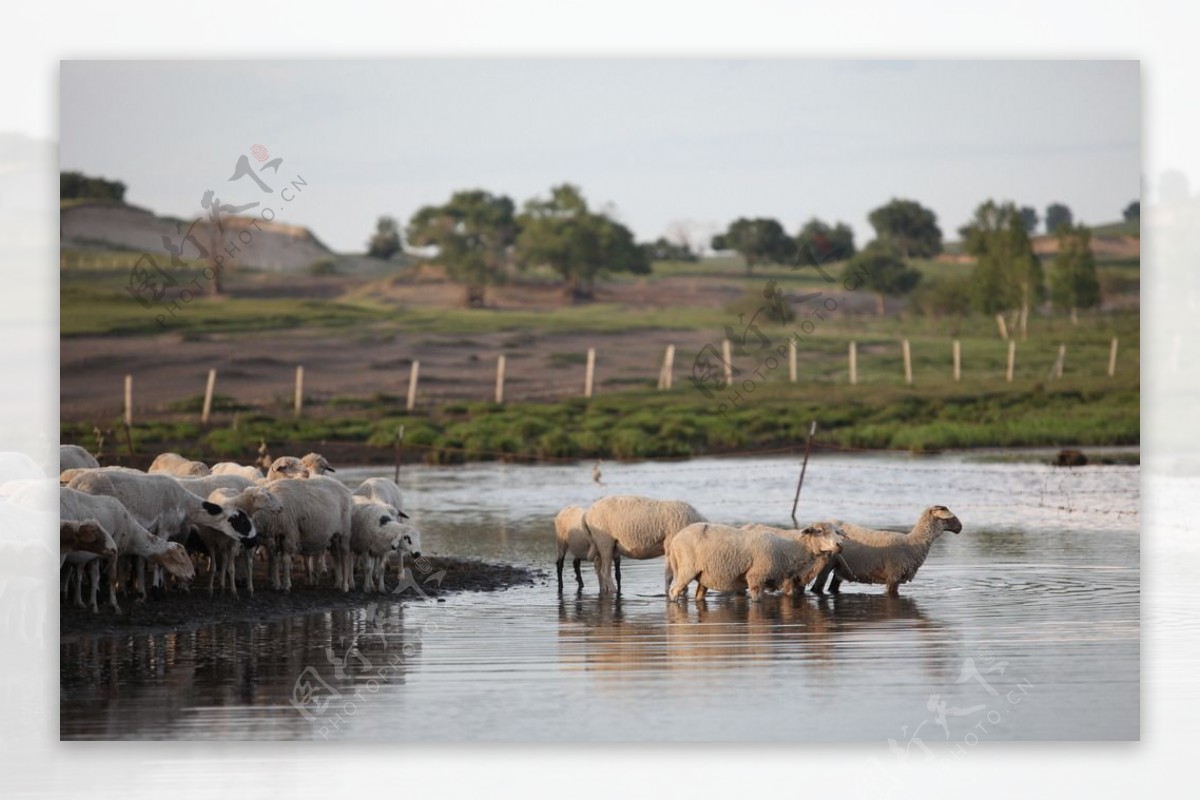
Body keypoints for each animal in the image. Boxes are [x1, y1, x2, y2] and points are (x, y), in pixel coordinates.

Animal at [60, 484, 195, 609]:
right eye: (182, 557)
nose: (193, 576)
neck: (132, 534)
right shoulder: (113, 551)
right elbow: (112, 576)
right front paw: (114, 604)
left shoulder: (96, 554)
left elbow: (95, 577)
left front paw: (93, 604)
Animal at [667, 520, 844, 599]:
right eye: (819, 531)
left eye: (838, 532)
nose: (840, 544)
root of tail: (675, 540)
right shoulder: (756, 577)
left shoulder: (788, 581)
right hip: (686, 569)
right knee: (674, 591)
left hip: (703, 575)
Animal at [806, 503, 964, 597]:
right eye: (948, 518)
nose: (960, 528)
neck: (913, 542)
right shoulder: (893, 576)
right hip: (826, 564)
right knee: (817, 588)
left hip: (840, 567)